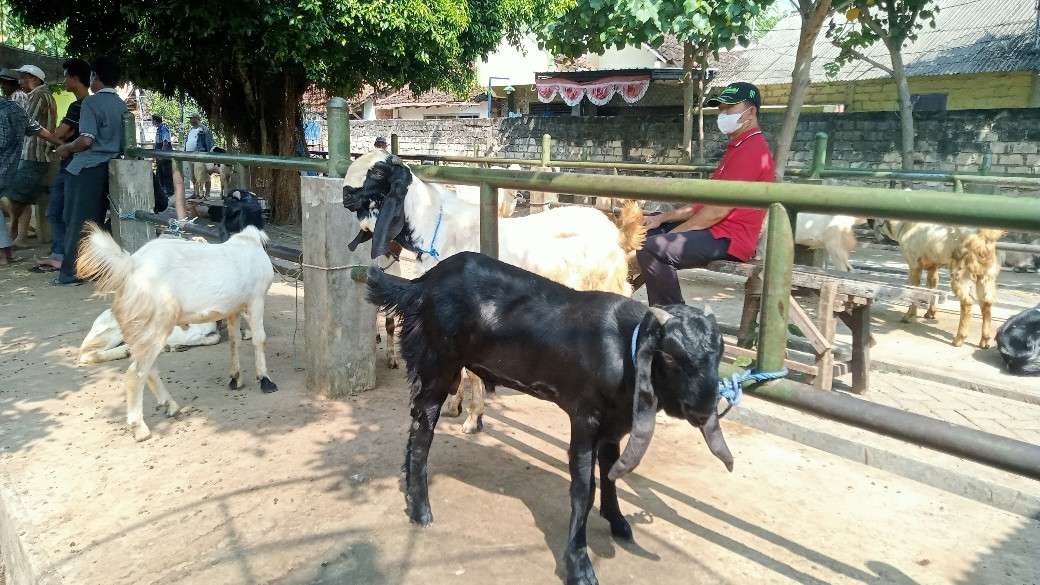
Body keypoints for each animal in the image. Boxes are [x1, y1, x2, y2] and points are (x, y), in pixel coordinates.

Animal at [345, 149, 644, 433]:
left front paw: (473, 418)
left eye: (378, 171)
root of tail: (617, 234)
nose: (346, 193)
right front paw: (455, 406)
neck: (436, 228)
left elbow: (471, 371)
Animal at [366, 250, 732, 582]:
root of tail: (420, 285)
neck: (622, 347)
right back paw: (420, 509)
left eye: (719, 353)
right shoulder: (584, 416)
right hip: (436, 364)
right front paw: (579, 566)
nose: (705, 408)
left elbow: (610, 473)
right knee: (422, 429)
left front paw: (618, 522)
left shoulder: (614, 426)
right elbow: (584, 488)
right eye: (669, 357)